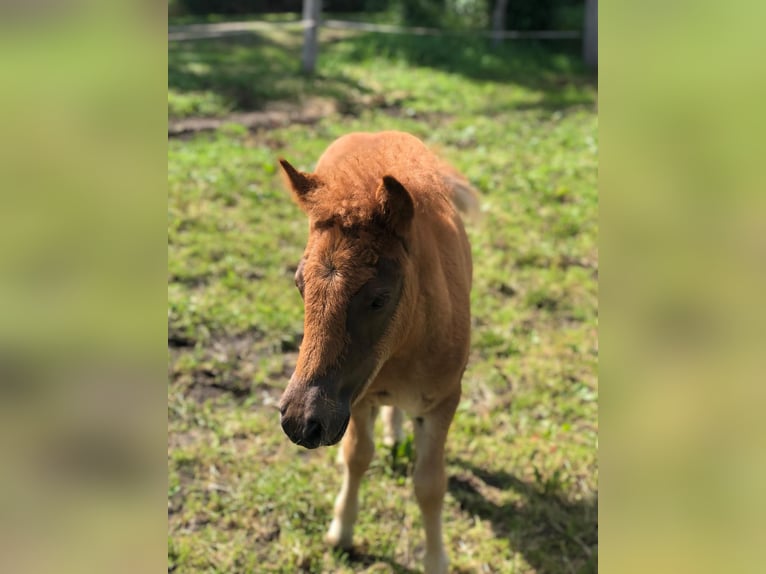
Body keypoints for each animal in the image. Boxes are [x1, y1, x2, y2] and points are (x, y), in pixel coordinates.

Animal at [280, 132, 476, 574]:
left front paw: (436, 560)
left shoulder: (444, 400)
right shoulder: (354, 398)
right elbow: (356, 457)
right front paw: (342, 533)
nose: (300, 422)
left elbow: (430, 485)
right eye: (299, 284)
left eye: (379, 298)